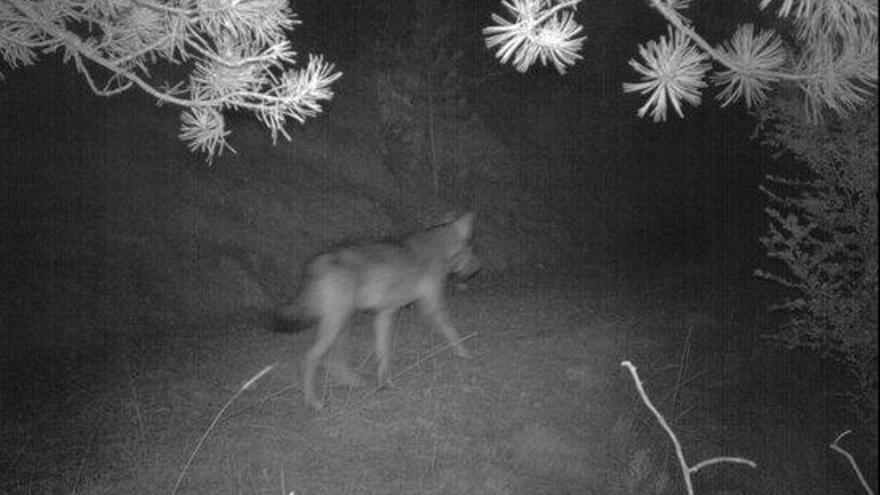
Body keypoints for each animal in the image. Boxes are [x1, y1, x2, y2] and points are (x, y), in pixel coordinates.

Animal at [278, 213, 478, 410]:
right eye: (472, 248)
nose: (478, 267)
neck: (438, 246)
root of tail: (317, 261)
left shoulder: (384, 314)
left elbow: (383, 353)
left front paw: (384, 383)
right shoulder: (432, 307)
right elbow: (452, 331)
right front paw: (465, 352)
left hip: (343, 323)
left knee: (332, 359)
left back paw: (353, 382)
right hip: (336, 324)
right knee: (309, 359)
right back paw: (313, 401)